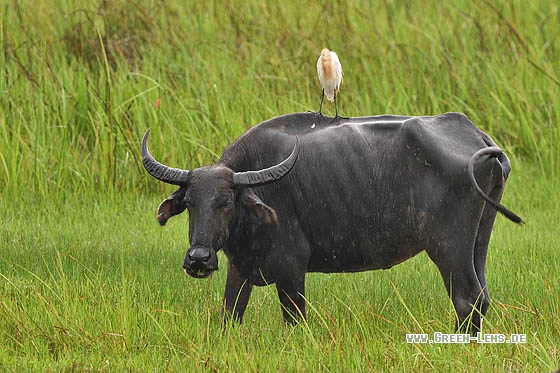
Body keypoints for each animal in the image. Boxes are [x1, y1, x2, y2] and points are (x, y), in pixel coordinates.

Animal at [140, 111, 520, 332]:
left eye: (225, 203)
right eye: (190, 203)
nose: (199, 259)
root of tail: (476, 136)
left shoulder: (292, 270)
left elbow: (295, 320)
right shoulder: (240, 269)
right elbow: (229, 314)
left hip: (449, 247)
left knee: (467, 298)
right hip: (479, 240)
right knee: (482, 296)